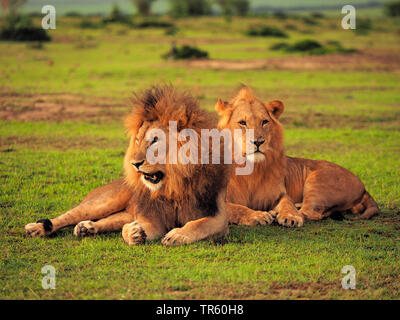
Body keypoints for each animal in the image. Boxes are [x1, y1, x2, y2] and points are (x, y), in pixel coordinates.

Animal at [25, 85, 230, 245]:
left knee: (108, 220)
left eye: (155, 140)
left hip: (124, 211)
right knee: (68, 216)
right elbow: (128, 229)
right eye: (137, 140)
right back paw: (37, 228)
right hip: (105, 201)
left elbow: (198, 224)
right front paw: (134, 233)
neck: (172, 184)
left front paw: (177, 235)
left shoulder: (218, 216)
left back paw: (86, 228)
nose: (134, 163)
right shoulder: (152, 217)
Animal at [216, 87, 378, 228]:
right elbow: (234, 208)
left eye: (265, 122)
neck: (251, 169)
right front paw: (257, 215)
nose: (258, 142)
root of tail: (364, 188)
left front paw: (290, 216)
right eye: (242, 123)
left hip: (318, 182)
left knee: (311, 213)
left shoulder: (280, 194)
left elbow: (287, 203)